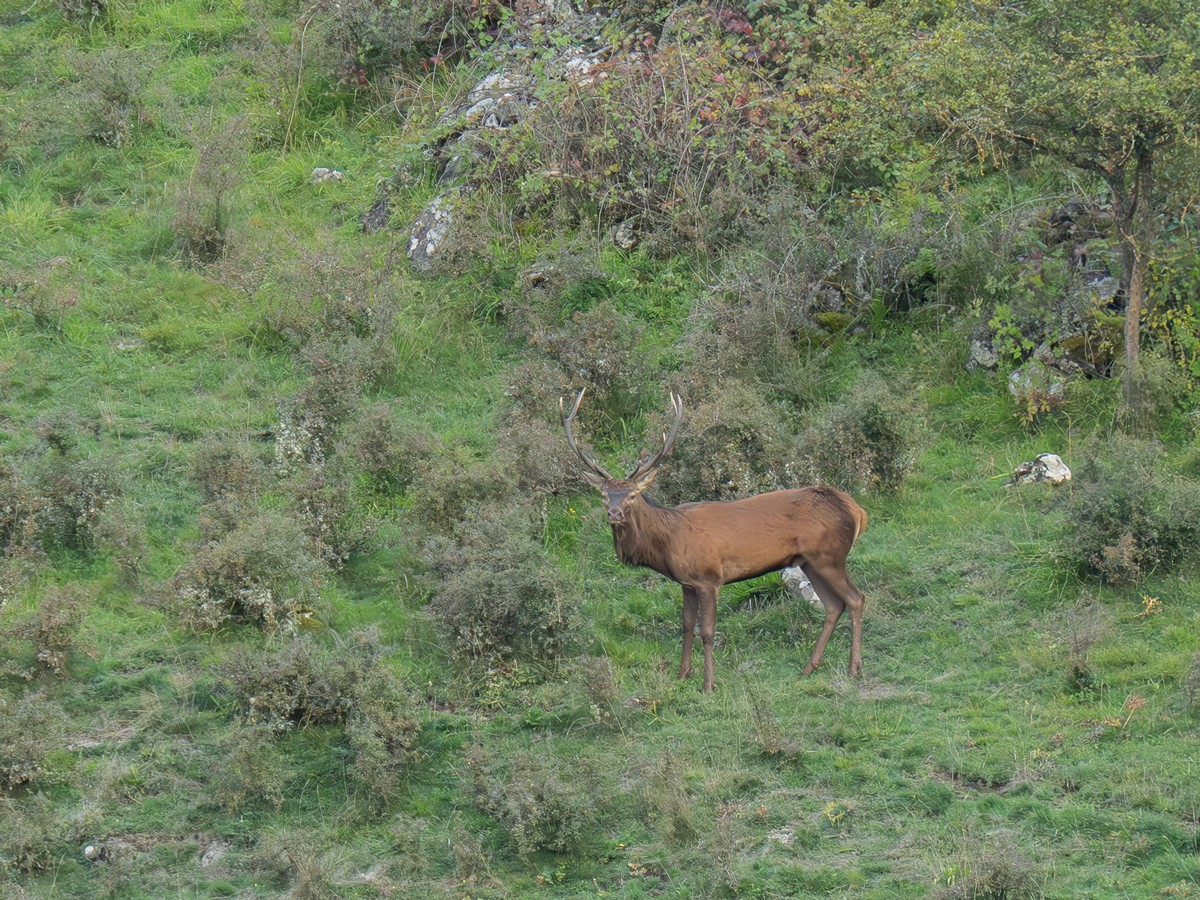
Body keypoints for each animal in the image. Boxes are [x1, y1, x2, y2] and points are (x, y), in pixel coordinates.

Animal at [562, 388, 867, 693]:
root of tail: (856, 510)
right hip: (809, 562)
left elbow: (707, 631)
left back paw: (853, 668)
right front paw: (682, 674)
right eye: (604, 494)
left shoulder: (708, 578)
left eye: (633, 495)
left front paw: (708, 684)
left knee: (855, 598)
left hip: (830, 557)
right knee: (833, 606)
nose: (614, 513)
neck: (668, 542)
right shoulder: (686, 583)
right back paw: (809, 667)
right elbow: (686, 625)